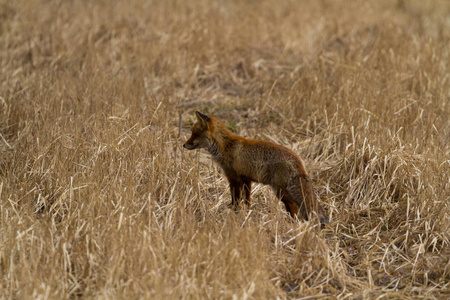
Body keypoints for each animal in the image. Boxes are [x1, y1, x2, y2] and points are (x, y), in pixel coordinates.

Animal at [184, 110, 330, 225]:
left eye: (195, 134)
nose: (183, 145)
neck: (226, 146)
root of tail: (298, 160)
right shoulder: (246, 179)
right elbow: (247, 200)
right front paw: (247, 214)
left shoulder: (233, 178)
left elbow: (235, 200)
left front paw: (235, 214)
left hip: (279, 189)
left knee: (293, 204)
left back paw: (292, 222)